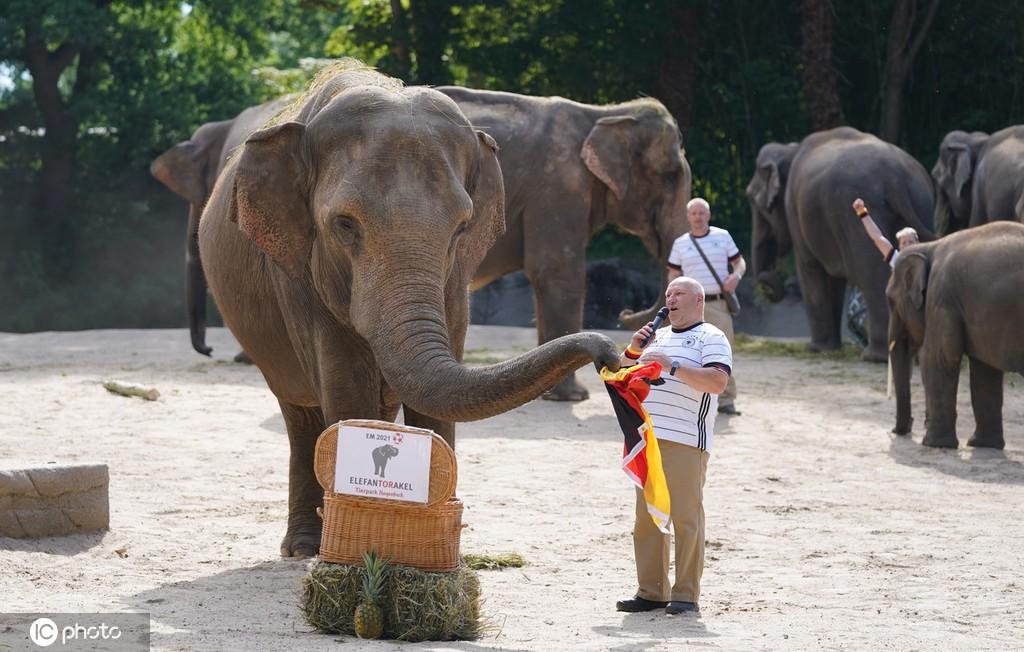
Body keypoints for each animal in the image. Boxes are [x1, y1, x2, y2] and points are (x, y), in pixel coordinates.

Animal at [196, 60, 618, 556]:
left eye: (462, 227)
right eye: (344, 224)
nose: (611, 354)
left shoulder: (455, 281)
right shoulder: (298, 276)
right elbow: (345, 384)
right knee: (300, 415)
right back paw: (302, 547)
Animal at [436, 84, 692, 401]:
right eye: (668, 177)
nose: (625, 313)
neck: (603, 114)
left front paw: (549, 394)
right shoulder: (560, 186)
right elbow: (556, 272)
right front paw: (573, 396)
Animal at [745, 126, 937, 360]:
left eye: (754, 201)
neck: (790, 149)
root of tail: (895, 176)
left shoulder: (796, 213)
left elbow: (809, 268)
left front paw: (817, 348)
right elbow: (834, 281)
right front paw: (830, 347)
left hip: (859, 213)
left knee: (871, 276)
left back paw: (875, 356)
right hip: (922, 201)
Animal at [888, 221, 1024, 450]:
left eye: (889, 301)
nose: (899, 431)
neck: (929, 247)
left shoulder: (942, 297)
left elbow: (939, 357)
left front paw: (933, 444)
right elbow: (984, 368)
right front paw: (982, 444)